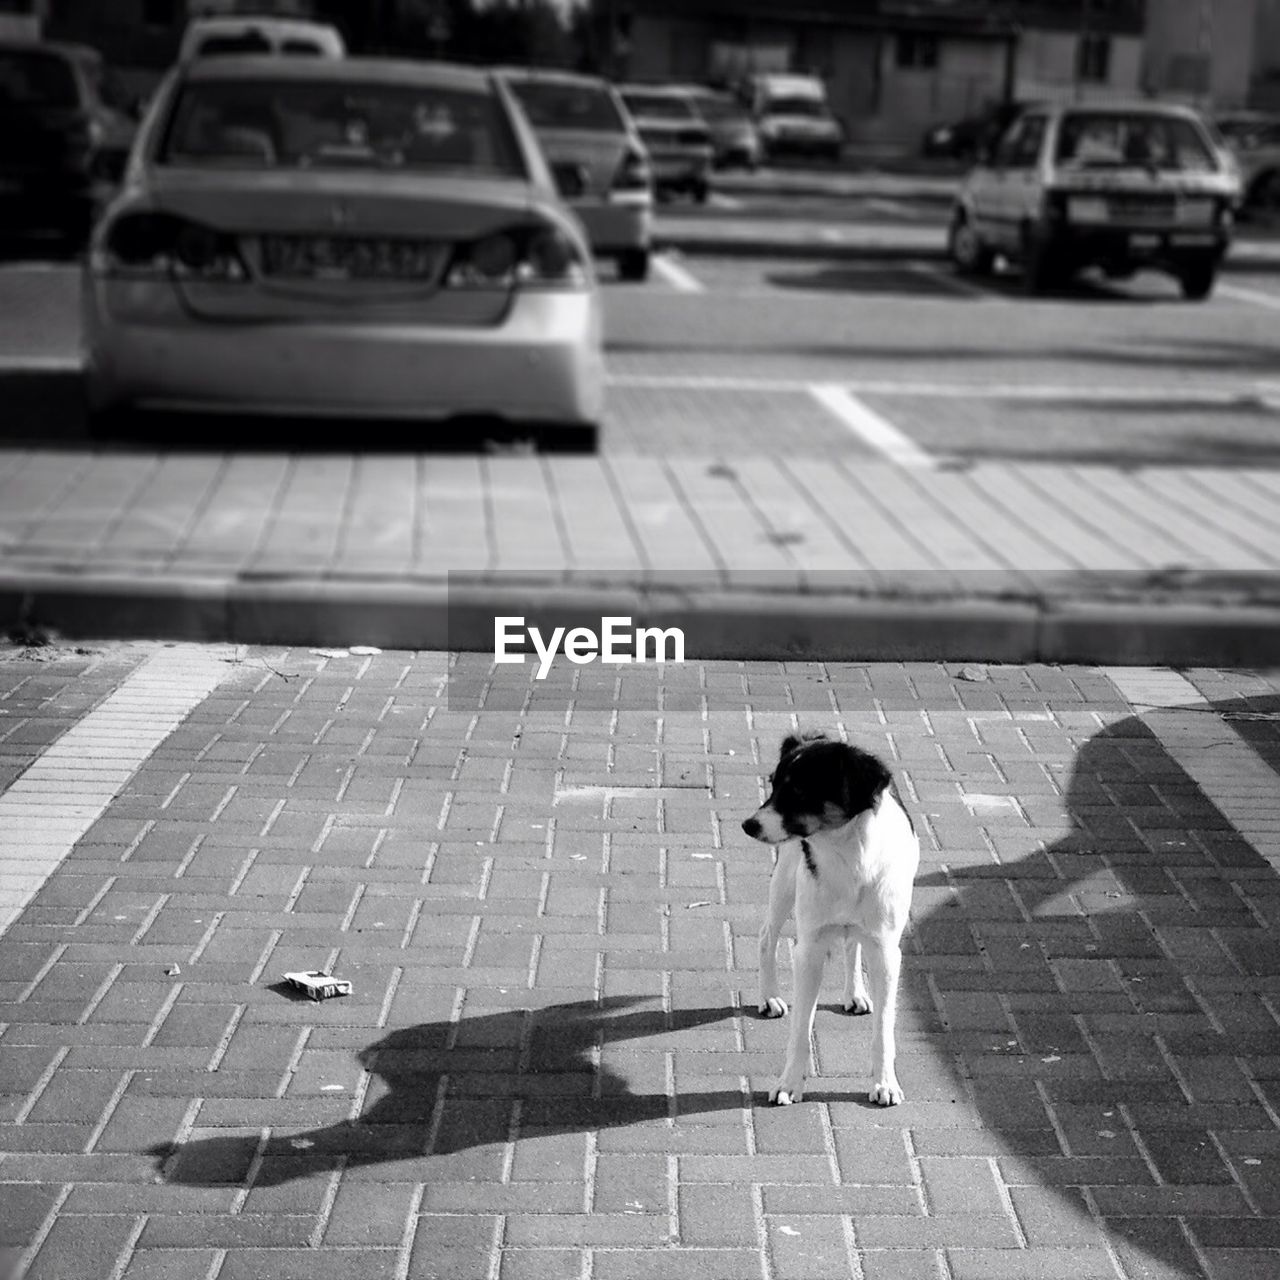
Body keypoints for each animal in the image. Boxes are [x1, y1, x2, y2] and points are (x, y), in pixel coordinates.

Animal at [742, 737, 921, 1105]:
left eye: (798, 791)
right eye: (773, 784)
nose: (748, 825)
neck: (848, 857)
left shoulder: (887, 953)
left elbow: (884, 1031)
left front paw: (884, 1082)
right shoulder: (808, 950)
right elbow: (799, 1030)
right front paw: (789, 1083)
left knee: (852, 943)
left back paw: (855, 993)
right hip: (784, 882)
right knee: (767, 936)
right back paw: (769, 997)